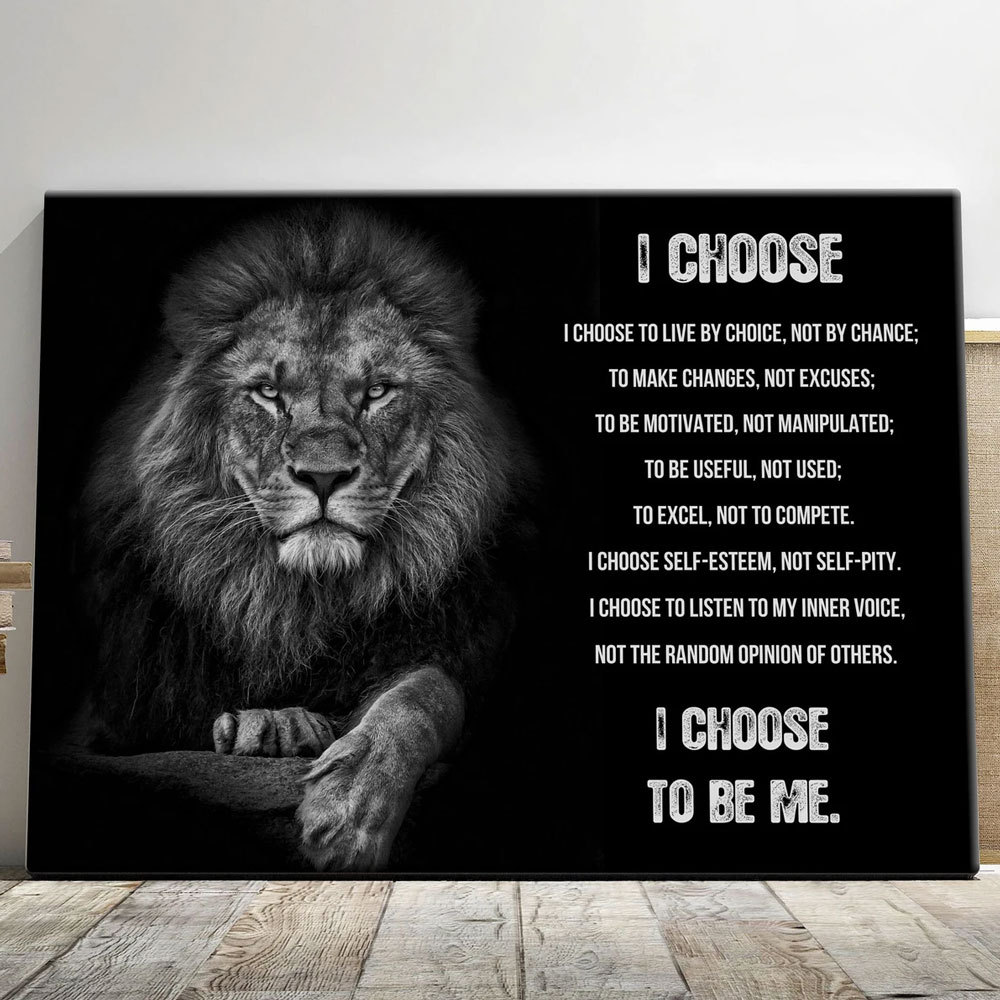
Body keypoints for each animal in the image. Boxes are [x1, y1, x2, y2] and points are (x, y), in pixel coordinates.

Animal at [76, 204, 534, 871]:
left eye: (377, 391)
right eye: (269, 393)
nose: (322, 475)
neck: (297, 603)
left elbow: (425, 694)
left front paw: (350, 808)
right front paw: (271, 727)